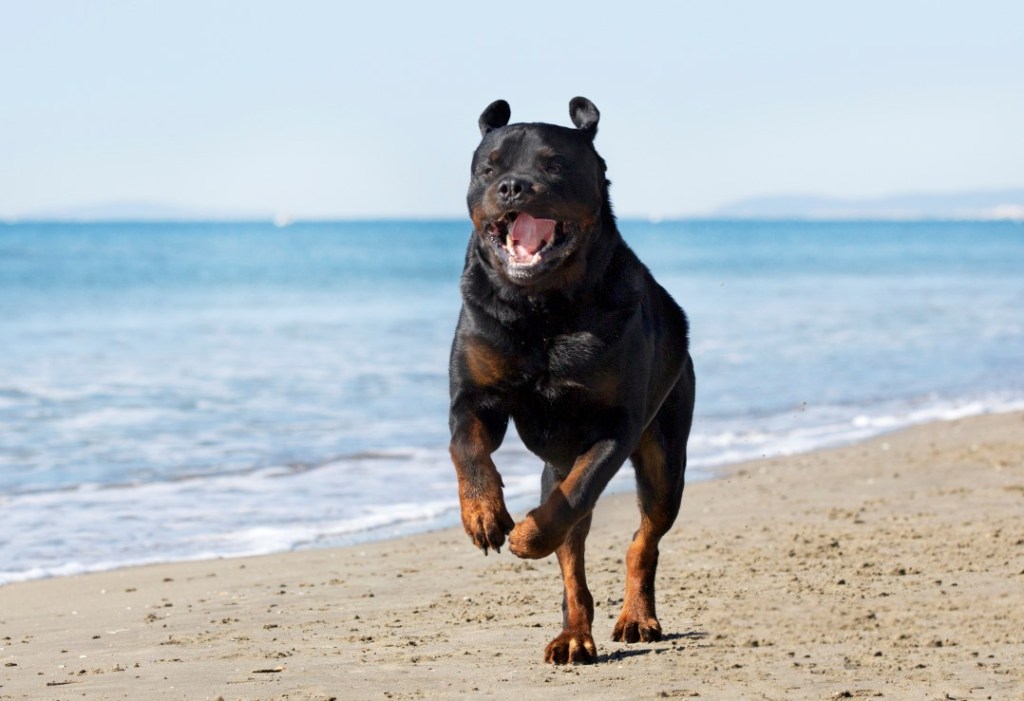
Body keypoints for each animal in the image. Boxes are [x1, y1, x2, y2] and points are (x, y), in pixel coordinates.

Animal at [448, 97, 696, 663]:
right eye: (489, 167)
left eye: (554, 165)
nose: (512, 187)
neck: (543, 308)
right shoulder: (475, 394)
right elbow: (466, 444)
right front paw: (483, 514)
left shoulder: (614, 425)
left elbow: (577, 494)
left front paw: (526, 537)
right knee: (572, 566)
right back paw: (573, 635)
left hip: (665, 456)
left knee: (641, 539)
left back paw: (636, 617)